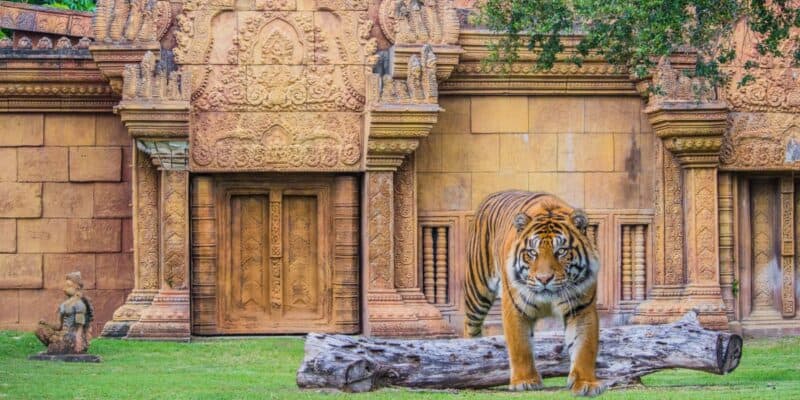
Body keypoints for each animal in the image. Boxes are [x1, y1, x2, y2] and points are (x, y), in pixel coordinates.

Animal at [464, 190, 604, 397]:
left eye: (561, 251)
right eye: (532, 252)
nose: (544, 279)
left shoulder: (581, 309)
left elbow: (584, 347)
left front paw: (586, 383)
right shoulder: (515, 308)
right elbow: (520, 347)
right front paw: (525, 381)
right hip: (477, 291)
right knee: (470, 327)